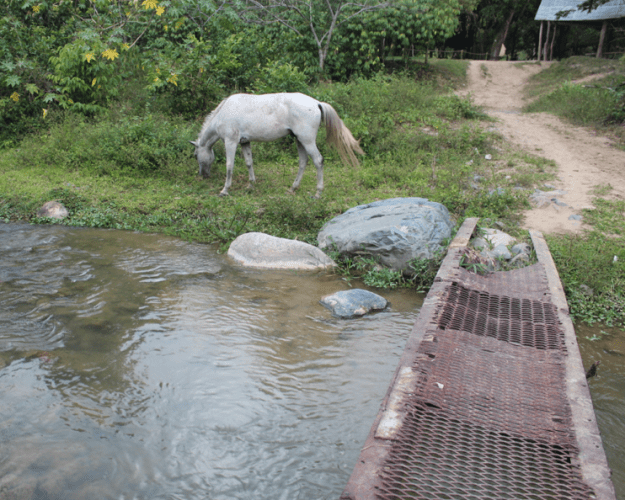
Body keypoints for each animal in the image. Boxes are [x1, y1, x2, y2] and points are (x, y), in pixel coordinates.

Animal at [190, 92, 364, 198]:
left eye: (196, 155)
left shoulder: (230, 141)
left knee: (318, 161)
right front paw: (251, 185)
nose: (203, 175)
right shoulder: (245, 142)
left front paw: (225, 190)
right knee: (303, 162)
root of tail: (316, 103)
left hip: (307, 140)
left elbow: (229, 166)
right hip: (299, 140)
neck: (224, 113)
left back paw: (317, 193)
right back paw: (293, 188)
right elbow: (249, 163)